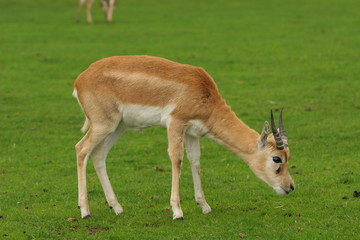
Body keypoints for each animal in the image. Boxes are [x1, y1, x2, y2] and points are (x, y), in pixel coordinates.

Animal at [73, 54, 296, 219]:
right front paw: (177, 211)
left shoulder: (192, 132)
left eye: (288, 157)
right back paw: (85, 211)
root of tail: (80, 79)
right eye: (276, 158)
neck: (203, 92)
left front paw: (205, 206)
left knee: (98, 155)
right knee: (81, 149)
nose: (290, 187)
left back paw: (117, 207)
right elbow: (177, 159)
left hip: (118, 127)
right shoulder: (175, 123)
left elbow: (195, 161)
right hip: (104, 124)